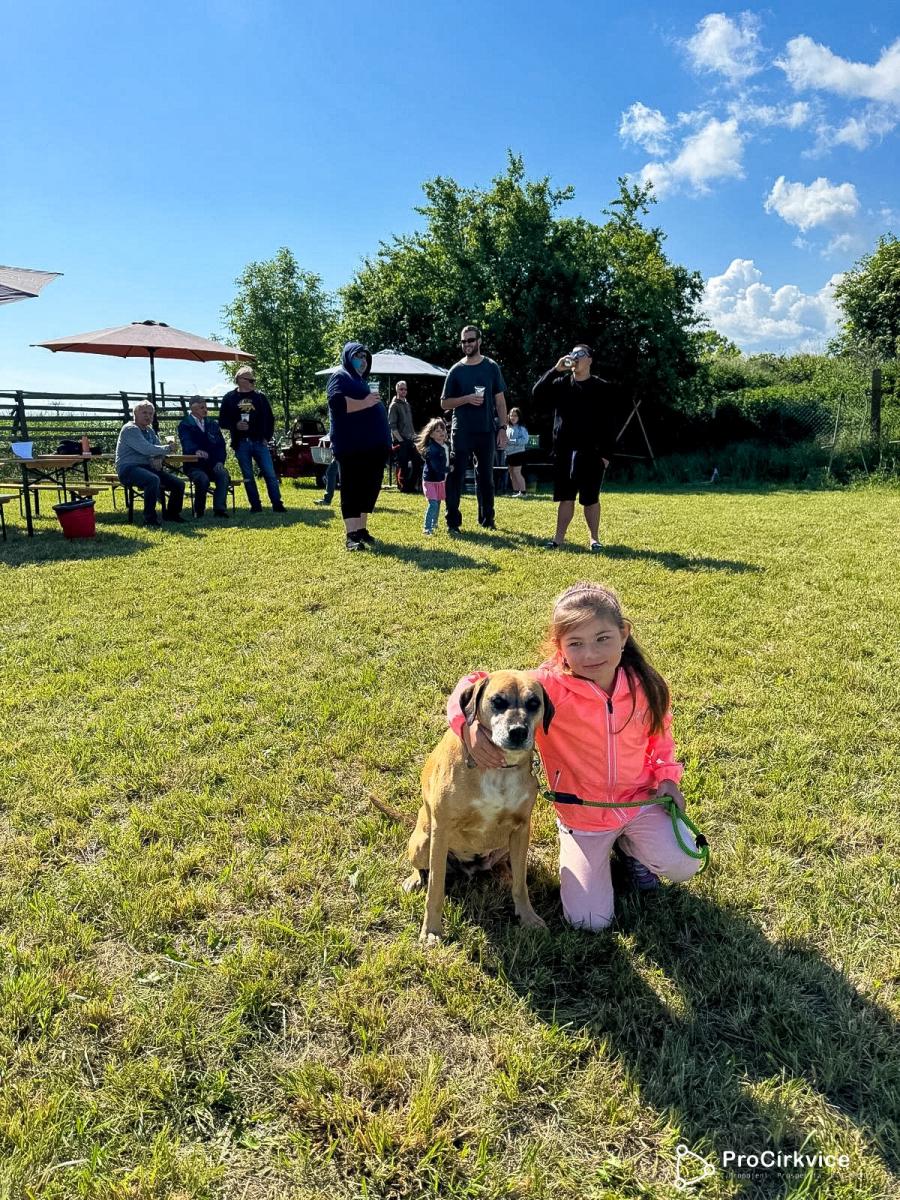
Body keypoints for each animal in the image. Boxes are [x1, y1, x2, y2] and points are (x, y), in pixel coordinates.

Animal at [403, 670, 554, 946]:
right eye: (497, 701)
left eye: (533, 703)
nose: (518, 731)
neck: (499, 769)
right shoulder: (441, 831)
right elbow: (435, 889)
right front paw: (432, 929)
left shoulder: (521, 829)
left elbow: (521, 885)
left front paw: (528, 917)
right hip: (423, 842)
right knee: (422, 868)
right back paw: (414, 879)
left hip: (508, 845)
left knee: (508, 867)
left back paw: (505, 875)